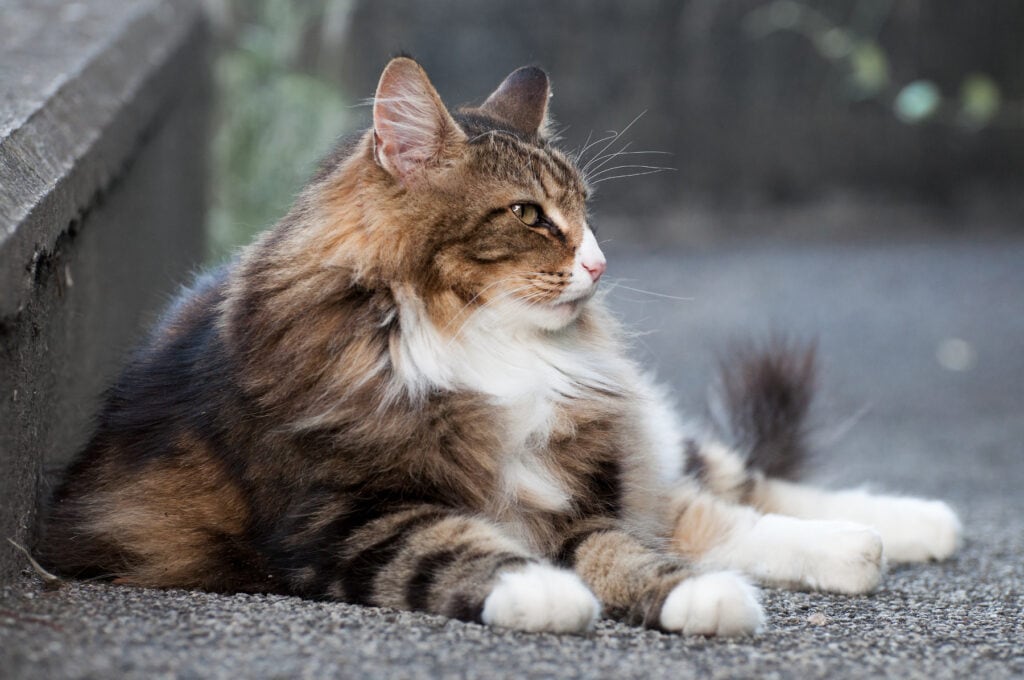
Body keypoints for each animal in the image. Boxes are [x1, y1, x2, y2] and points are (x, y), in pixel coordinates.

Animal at [39, 59, 962, 639]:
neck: (482, 342)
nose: (600, 263)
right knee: (714, 510)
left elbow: (635, 554)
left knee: (728, 485)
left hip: (633, 442)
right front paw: (550, 594)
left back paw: (904, 528)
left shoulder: (572, 496)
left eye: (585, 210)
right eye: (529, 215)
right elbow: (460, 550)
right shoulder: (344, 516)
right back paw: (864, 547)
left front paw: (695, 599)